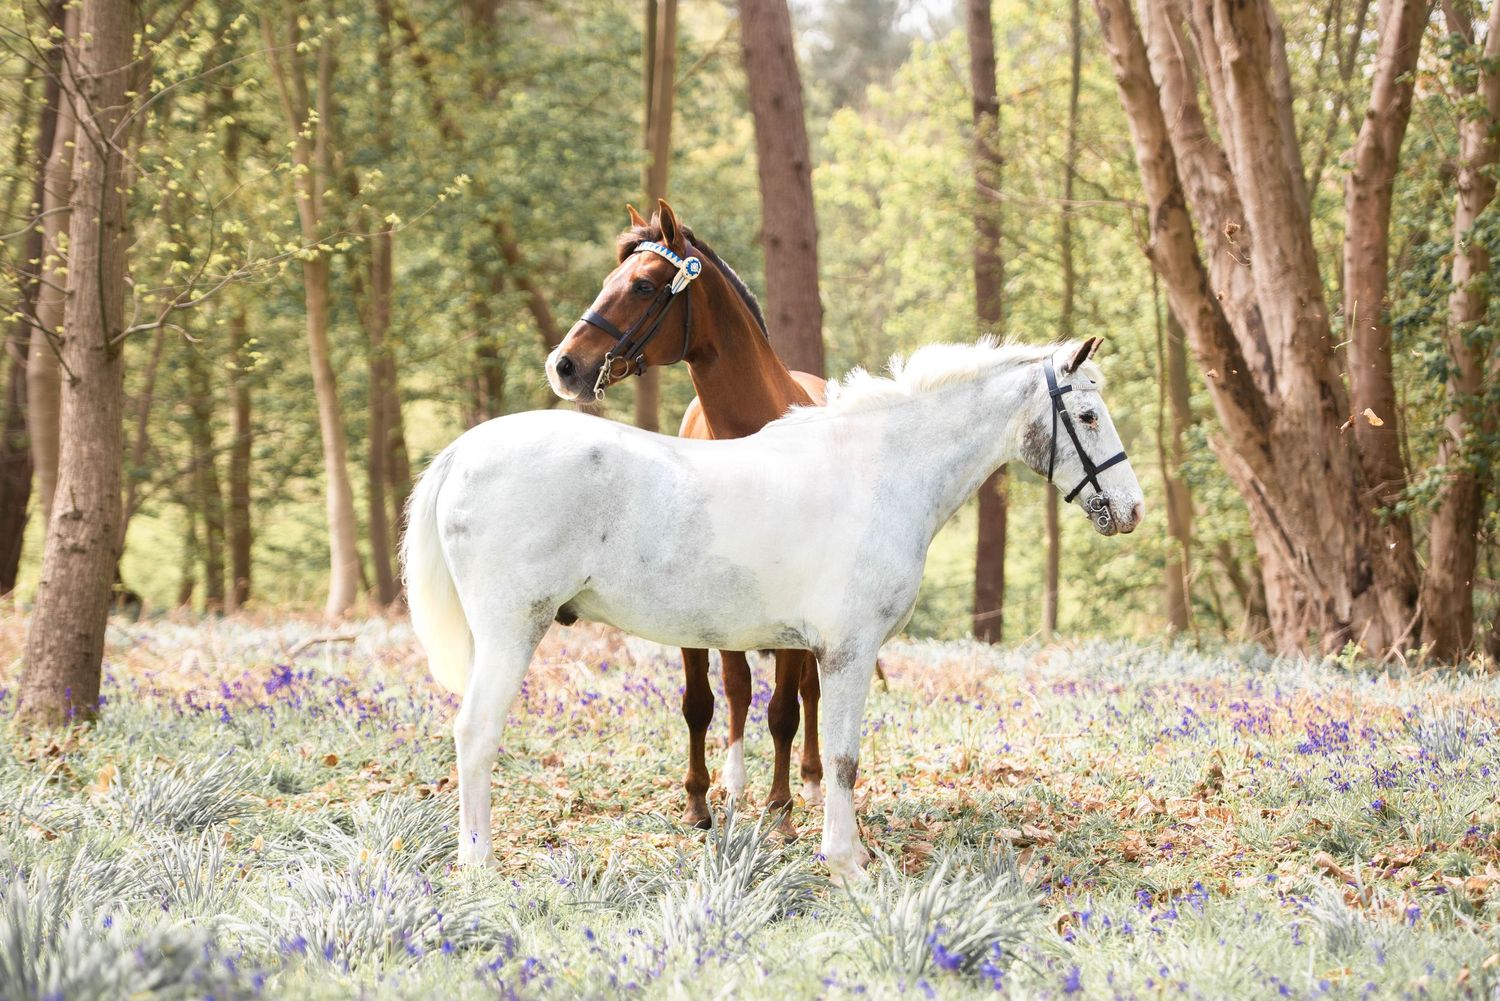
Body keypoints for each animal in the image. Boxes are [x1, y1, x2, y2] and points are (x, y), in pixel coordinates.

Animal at [402, 336, 1145, 877]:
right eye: (1087, 416)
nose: (1132, 509)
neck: (877, 472)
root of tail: (465, 449)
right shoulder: (848, 653)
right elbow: (842, 758)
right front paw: (845, 861)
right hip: (511, 631)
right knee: (475, 733)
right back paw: (479, 861)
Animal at [545, 199, 826, 836]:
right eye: (609, 280)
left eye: (644, 286)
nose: (564, 366)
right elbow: (703, 702)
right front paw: (701, 802)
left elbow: (784, 709)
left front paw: (780, 810)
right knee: (739, 687)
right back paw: (735, 782)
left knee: (808, 692)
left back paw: (811, 783)